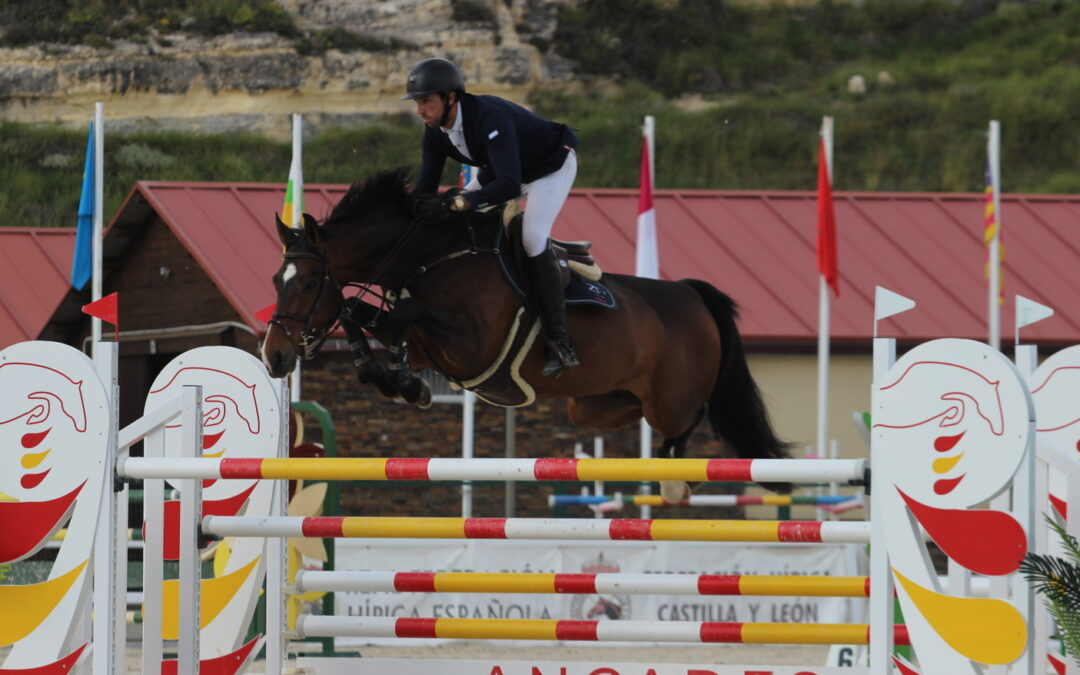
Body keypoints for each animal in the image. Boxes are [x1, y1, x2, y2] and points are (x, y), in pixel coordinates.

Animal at [261, 168, 786, 501]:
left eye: (309, 283)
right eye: (275, 281)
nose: (275, 357)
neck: (432, 254)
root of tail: (690, 293)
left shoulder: (471, 345)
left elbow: (403, 310)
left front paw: (403, 381)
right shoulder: (434, 348)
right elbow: (361, 313)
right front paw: (393, 379)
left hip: (670, 401)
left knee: (689, 421)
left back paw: (678, 481)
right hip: (594, 406)